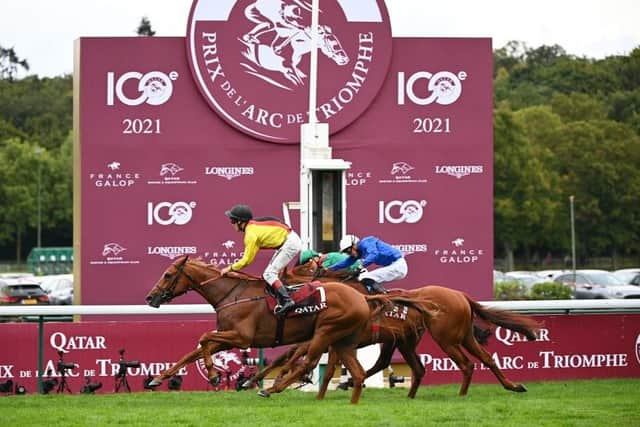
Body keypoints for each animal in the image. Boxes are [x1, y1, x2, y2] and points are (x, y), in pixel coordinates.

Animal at [144, 258, 432, 404]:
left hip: (329, 332)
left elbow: (203, 339)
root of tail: (364, 299)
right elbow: (195, 350)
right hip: (358, 340)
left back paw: (274, 389)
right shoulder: (228, 336)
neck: (233, 295)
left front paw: (217, 377)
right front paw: (158, 379)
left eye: (168, 275)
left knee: (312, 362)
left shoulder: (241, 337)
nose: (150, 297)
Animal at [248, 262, 544, 400]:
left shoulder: (331, 337)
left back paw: (461, 394)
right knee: (484, 358)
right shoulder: (334, 338)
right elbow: (309, 360)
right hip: (449, 336)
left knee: (466, 364)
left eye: (284, 277)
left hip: (445, 338)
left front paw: (268, 382)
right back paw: (513, 386)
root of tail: (461, 295)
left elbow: (303, 357)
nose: (274, 292)